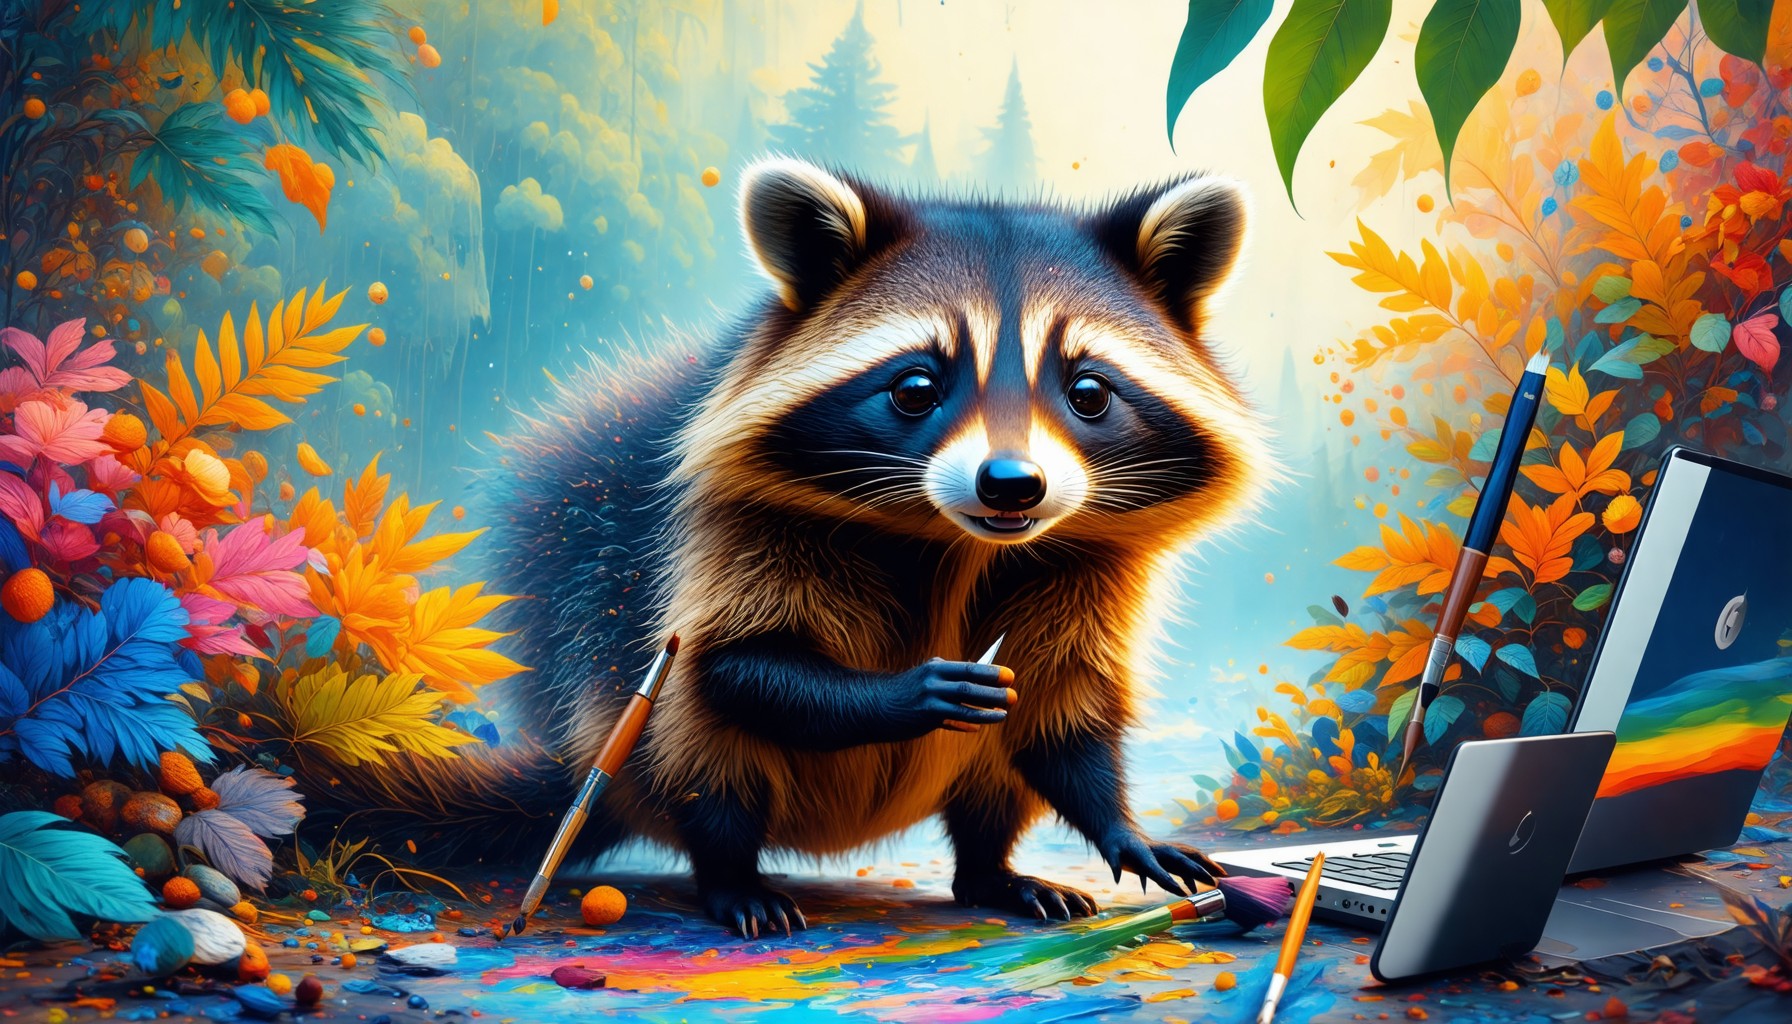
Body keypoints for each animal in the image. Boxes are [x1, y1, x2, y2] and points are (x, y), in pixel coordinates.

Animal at [358, 158, 1272, 937]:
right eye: (916, 387)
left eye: (1088, 392)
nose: (1012, 486)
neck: (956, 540)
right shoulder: (731, 530)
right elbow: (733, 664)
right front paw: (908, 691)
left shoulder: (1085, 562)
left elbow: (1062, 708)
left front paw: (1120, 825)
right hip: (637, 737)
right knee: (708, 751)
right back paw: (729, 875)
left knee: (998, 779)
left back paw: (990, 870)